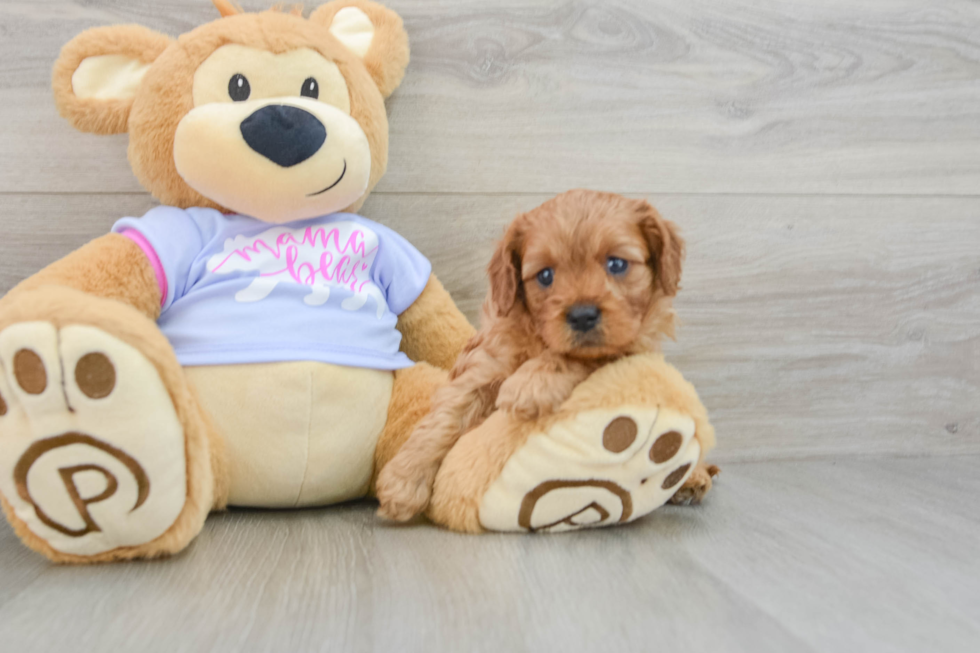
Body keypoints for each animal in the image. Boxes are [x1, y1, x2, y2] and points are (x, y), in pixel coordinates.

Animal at [376, 188, 712, 520]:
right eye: (545, 275)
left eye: (616, 264)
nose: (582, 316)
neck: (539, 341)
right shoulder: (483, 368)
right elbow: (445, 418)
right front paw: (402, 482)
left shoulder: (629, 349)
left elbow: (580, 357)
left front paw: (531, 384)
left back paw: (692, 477)